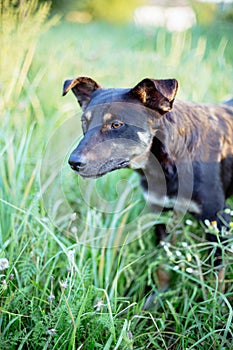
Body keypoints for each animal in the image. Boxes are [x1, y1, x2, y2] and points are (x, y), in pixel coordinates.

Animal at [62, 77, 233, 290]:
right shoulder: (161, 214)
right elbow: (162, 268)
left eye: (116, 124)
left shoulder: (218, 223)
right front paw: (158, 295)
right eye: (84, 122)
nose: (74, 162)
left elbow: (217, 279)